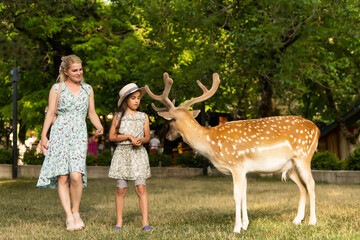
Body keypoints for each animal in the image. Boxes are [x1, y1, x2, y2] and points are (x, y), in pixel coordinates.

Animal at [145, 72, 320, 232]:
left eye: (170, 121)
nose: (168, 136)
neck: (210, 143)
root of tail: (317, 129)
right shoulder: (244, 169)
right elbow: (244, 195)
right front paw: (245, 224)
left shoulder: (236, 164)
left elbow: (236, 196)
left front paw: (236, 228)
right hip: (290, 166)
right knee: (302, 187)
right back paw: (297, 220)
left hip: (304, 156)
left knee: (311, 184)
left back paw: (312, 221)